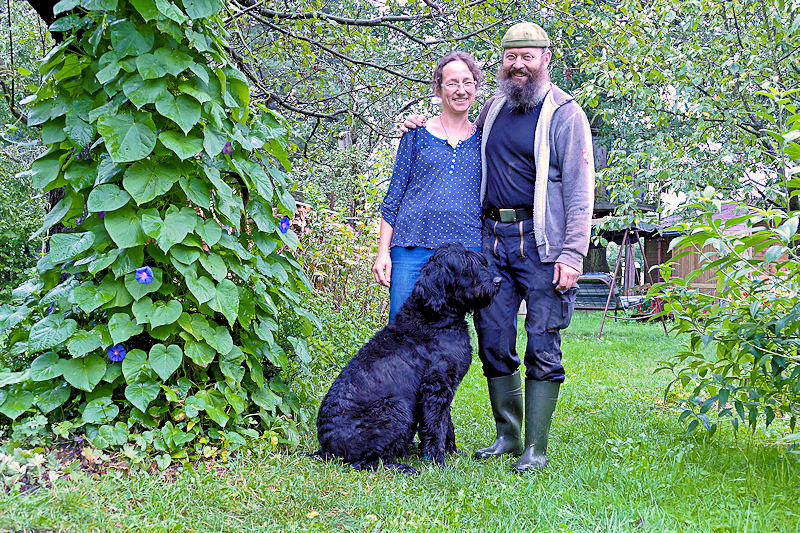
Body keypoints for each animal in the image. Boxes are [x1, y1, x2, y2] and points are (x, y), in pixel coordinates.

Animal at [315, 242, 501, 473]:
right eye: (467, 267)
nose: (498, 281)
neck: (433, 318)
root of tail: (326, 449)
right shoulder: (436, 387)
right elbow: (436, 428)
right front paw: (439, 462)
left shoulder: (444, 388)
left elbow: (446, 424)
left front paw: (452, 452)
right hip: (396, 407)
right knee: (365, 462)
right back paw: (402, 467)